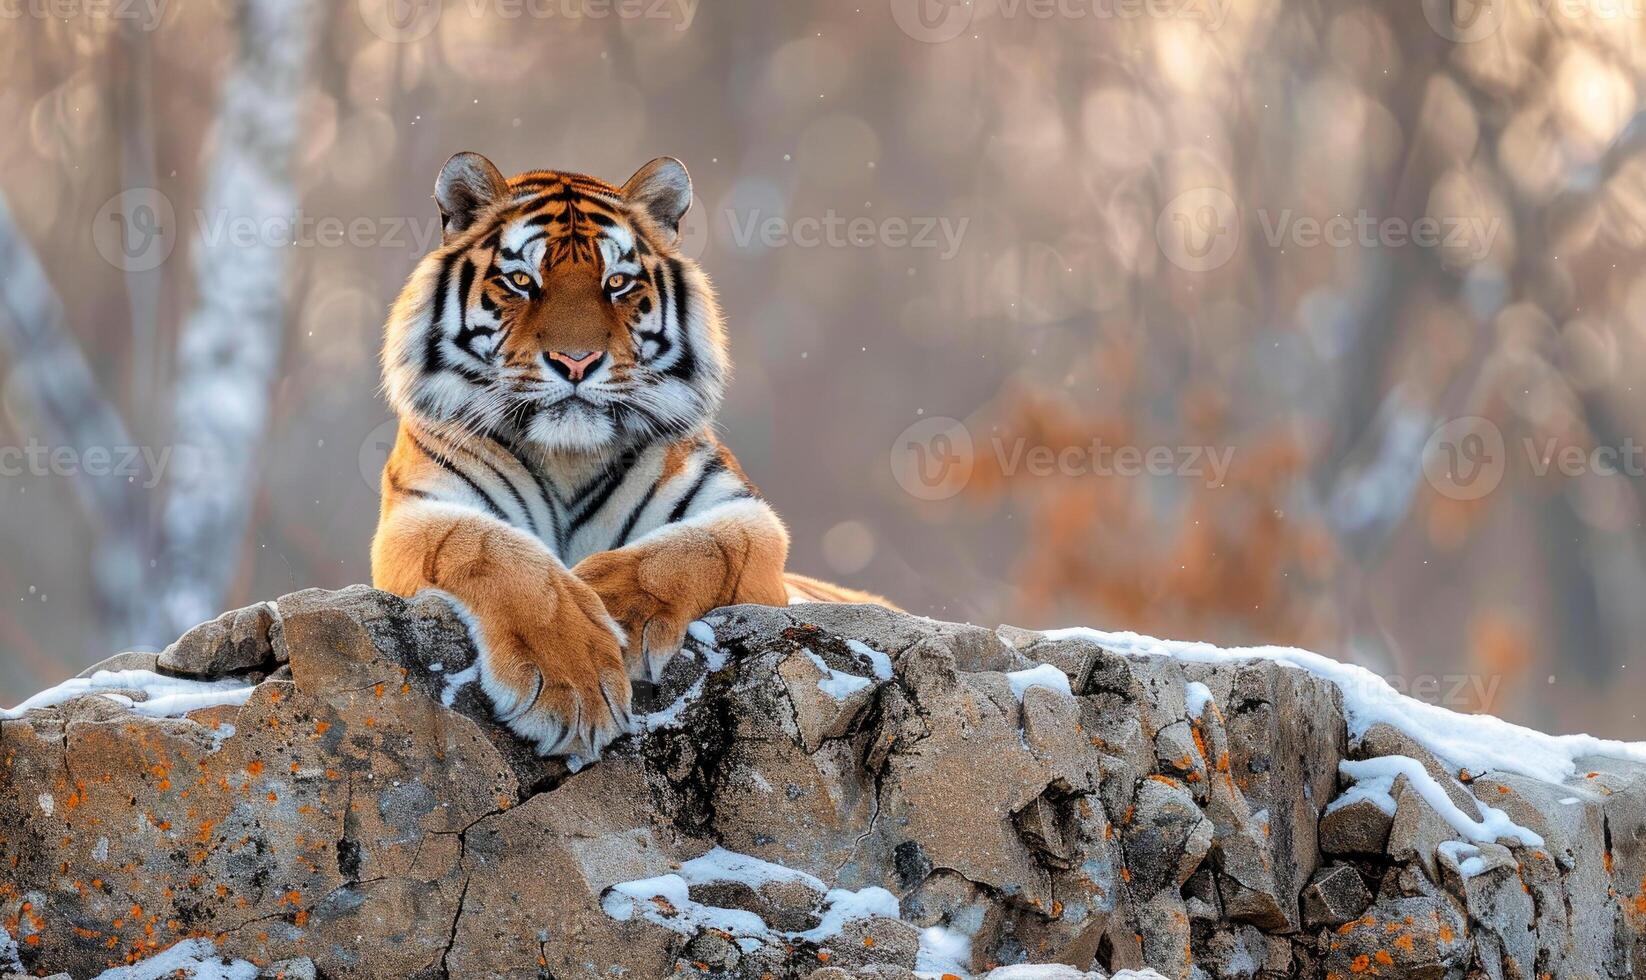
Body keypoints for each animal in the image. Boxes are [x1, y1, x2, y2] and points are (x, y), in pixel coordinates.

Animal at [373, 153, 888, 764]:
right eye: (521, 280)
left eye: (617, 283)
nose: (576, 362)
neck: (567, 456)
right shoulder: (415, 516)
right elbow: (492, 550)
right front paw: (572, 679)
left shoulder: (746, 513)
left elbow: (699, 548)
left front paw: (611, 605)